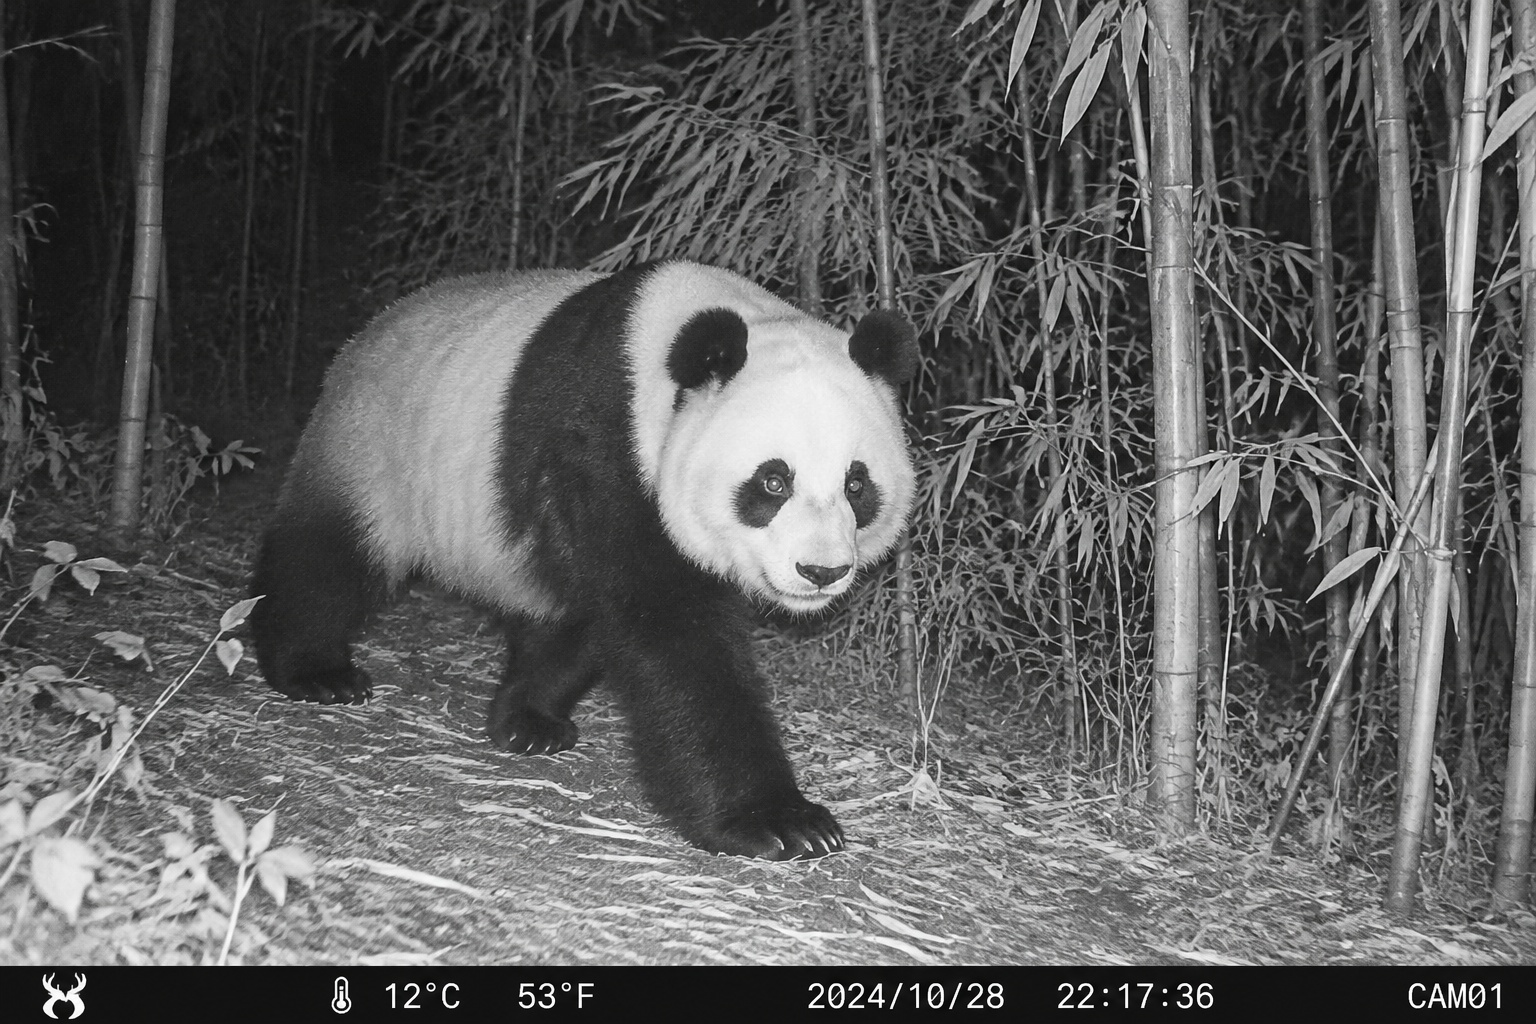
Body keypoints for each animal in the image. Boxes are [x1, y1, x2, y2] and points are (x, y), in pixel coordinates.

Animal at [249, 260, 918, 860]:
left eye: (857, 485)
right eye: (774, 482)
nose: (822, 571)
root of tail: (371, 330)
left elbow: (597, 618)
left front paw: (527, 715)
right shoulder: (602, 442)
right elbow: (670, 631)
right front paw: (779, 821)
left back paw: (530, 716)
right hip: (376, 446)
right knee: (330, 555)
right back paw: (316, 671)